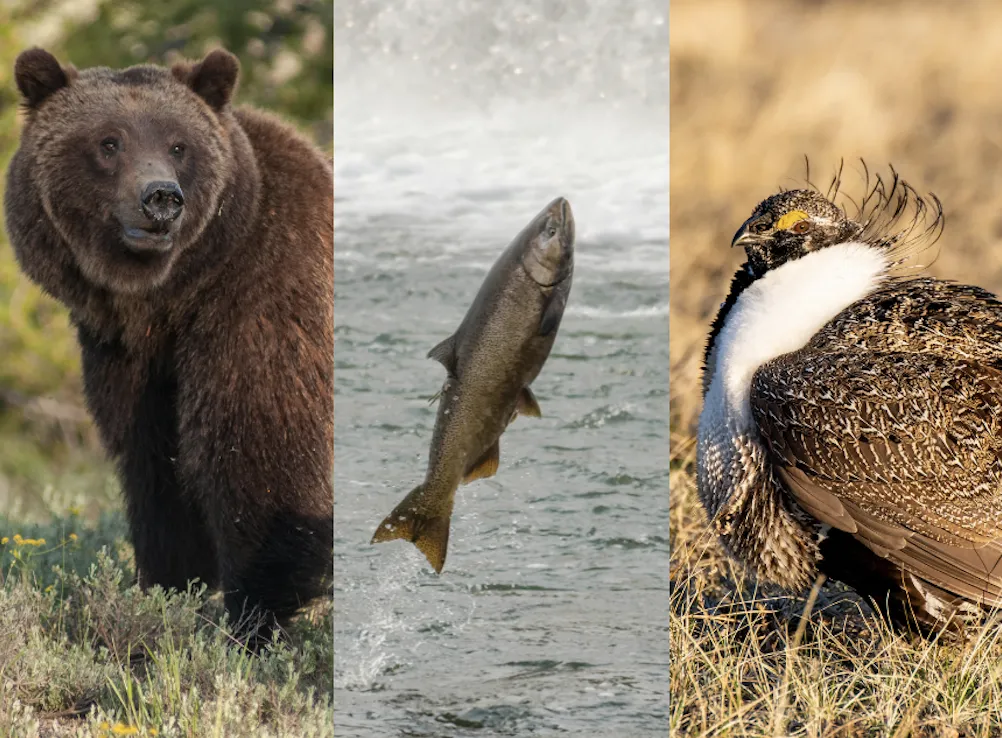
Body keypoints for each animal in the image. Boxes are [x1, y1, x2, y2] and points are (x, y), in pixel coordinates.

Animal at [3, 47, 333, 647]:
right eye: (109, 141)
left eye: (179, 145)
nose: (160, 198)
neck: (170, 297)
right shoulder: (126, 358)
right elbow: (156, 467)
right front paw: (169, 588)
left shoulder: (264, 299)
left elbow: (261, 454)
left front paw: (252, 618)